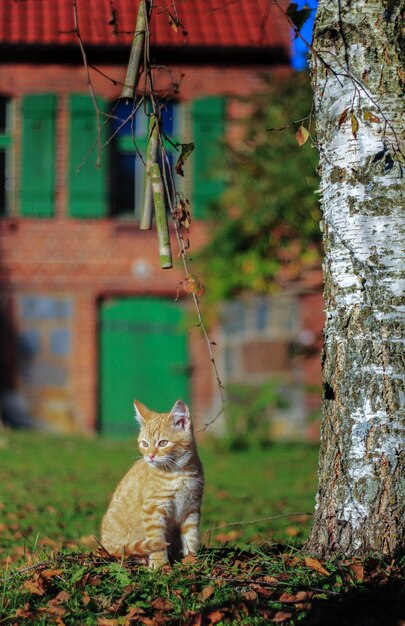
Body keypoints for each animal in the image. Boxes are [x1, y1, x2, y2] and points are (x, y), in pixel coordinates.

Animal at [101, 400, 202, 564]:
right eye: (144, 444)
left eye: (163, 443)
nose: (150, 456)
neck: (178, 473)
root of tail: (105, 546)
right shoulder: (153, 510)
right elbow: (157, 539)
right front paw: (161, 564)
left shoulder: (192, 508)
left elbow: (191, 537)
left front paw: (191, 560)